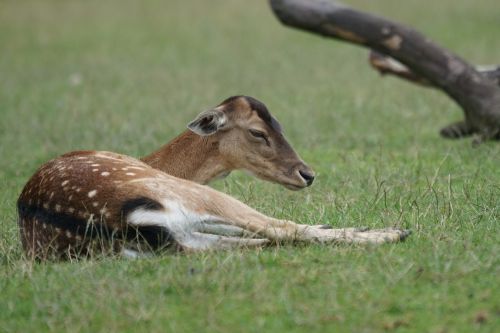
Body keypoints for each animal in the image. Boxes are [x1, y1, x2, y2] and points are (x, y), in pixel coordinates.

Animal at [16, 94, 410, 258]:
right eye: (258, 132)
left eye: (280, 124)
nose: (307, 174)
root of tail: (118, 221)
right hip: (194, 196)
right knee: (280, 229)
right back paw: (392, 233)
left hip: (182, 239)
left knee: (264, 238)